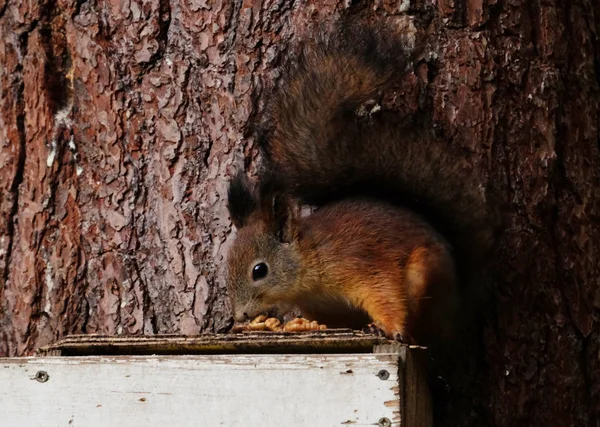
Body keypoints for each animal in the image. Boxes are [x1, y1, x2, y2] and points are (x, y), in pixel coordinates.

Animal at [223, 20, 494, 348]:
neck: (310, 259)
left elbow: (385, 292)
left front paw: (388, 327)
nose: (239, 316)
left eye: (259, 270)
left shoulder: (359, 263)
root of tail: (458, 311)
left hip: (425, 273)